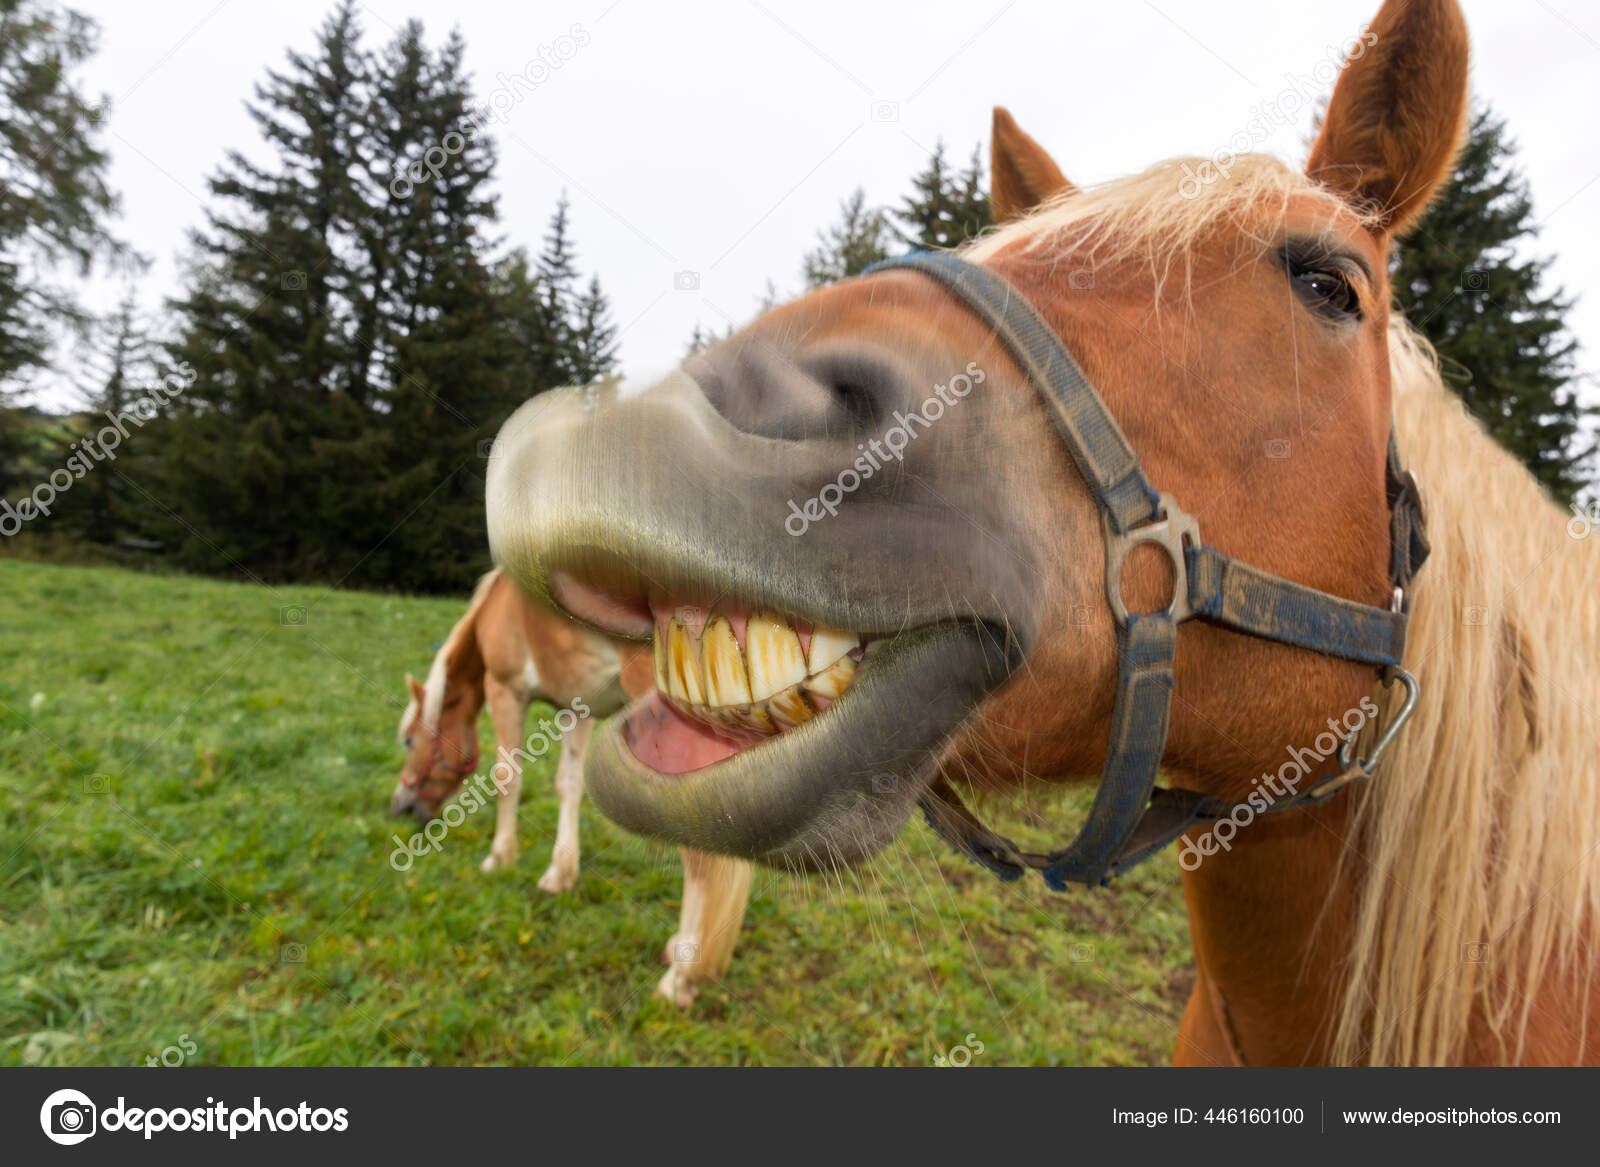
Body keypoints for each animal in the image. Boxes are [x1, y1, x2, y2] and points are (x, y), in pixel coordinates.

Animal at [393, 569, 755, 1005]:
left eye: (409, 740)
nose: (401, 806)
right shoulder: (574, 707)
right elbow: (568, 784)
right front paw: (560, 873)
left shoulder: (506, 690)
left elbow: (507, 779)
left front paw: (499, 858)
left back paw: (681, 978)